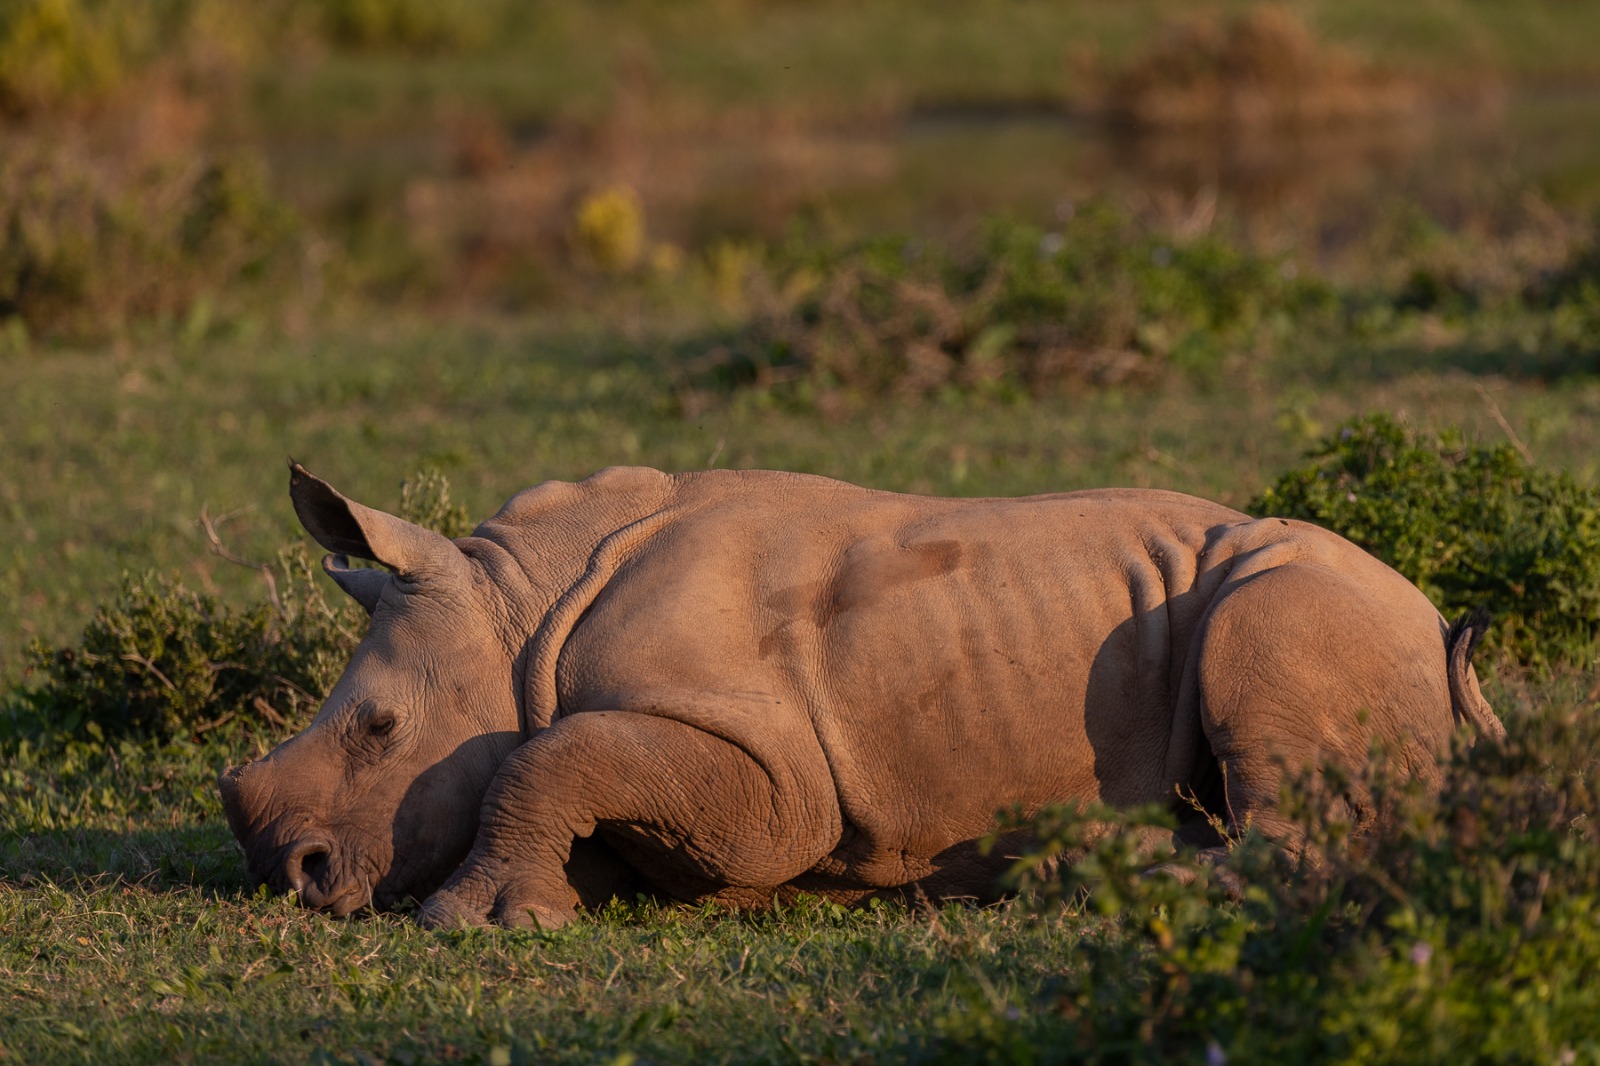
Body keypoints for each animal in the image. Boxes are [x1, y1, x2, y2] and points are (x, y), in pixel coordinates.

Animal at [219, 462, 1504, 928]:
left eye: (382, 727)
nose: (295, 875)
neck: (517, 610)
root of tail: (1435, 622)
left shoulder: (776, 773)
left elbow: (552, 755)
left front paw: (483, 921)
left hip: (1306, 602)